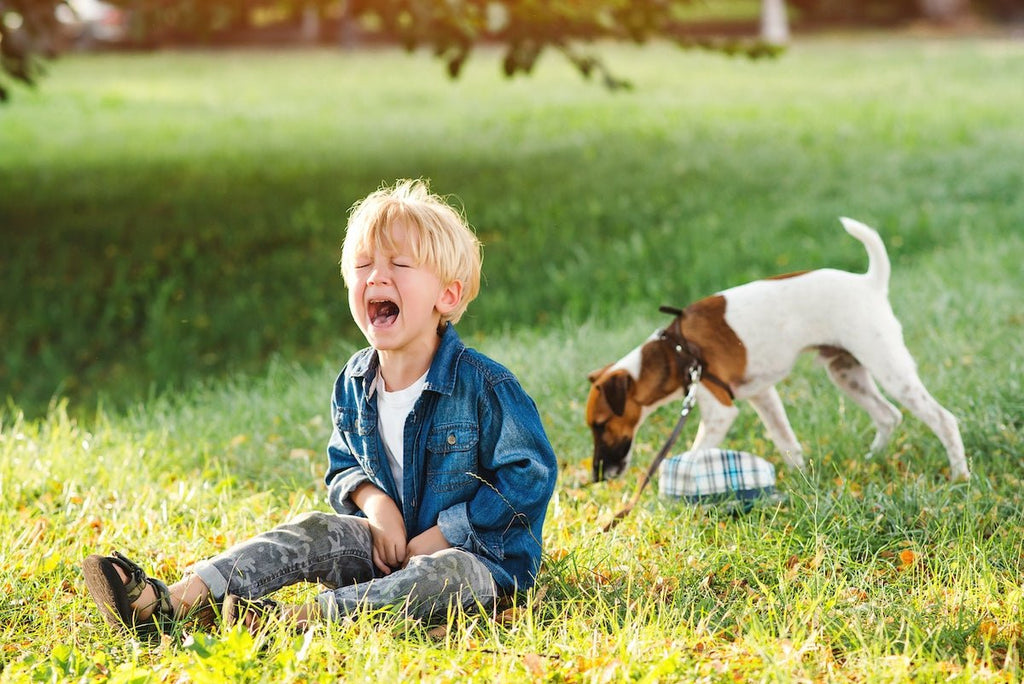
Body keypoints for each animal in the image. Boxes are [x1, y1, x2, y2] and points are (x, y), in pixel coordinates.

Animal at [585, 218, 966, 481]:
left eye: (601, 425)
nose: (597, 476)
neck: (673, 351)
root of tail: (868, 283)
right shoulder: (762, 394)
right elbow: (787, 442)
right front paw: (802, 482)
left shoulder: (720, 412)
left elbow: (692, 458)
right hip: (846, 372)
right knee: (888, 416)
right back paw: (873, 460)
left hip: (889, 369)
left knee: (943, 420)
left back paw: (960, 476)